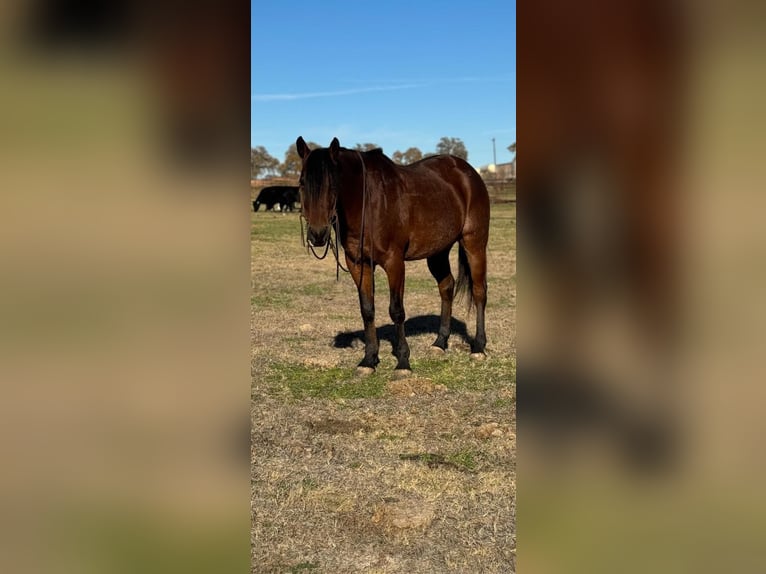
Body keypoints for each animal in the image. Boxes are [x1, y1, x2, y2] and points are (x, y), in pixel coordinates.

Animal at [296, 134, 488, 378]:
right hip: (438, 251)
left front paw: (403, 362)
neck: (368, 202)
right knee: (446, 287)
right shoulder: (358, 263)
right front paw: (369, 360)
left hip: (474, 244)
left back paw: (479, 347)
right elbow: (367, 309)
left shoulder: (394, 262)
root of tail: (468, 172)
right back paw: (439, 343)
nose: (318, 234)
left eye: (333, 184)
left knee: (479, 291)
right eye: (302, 183)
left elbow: (396, 310)